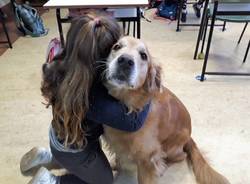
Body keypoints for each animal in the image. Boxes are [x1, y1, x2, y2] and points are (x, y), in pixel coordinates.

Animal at [102, 36, 229, 184]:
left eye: (143, 55)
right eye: (116, 46)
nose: (126, 61)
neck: (129, 106)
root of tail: (190, 137)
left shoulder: (147, 159)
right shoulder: (117, 144)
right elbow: (118, 157)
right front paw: (115, 166)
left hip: (171, 147)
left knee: (180, 156)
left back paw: (163, 166)